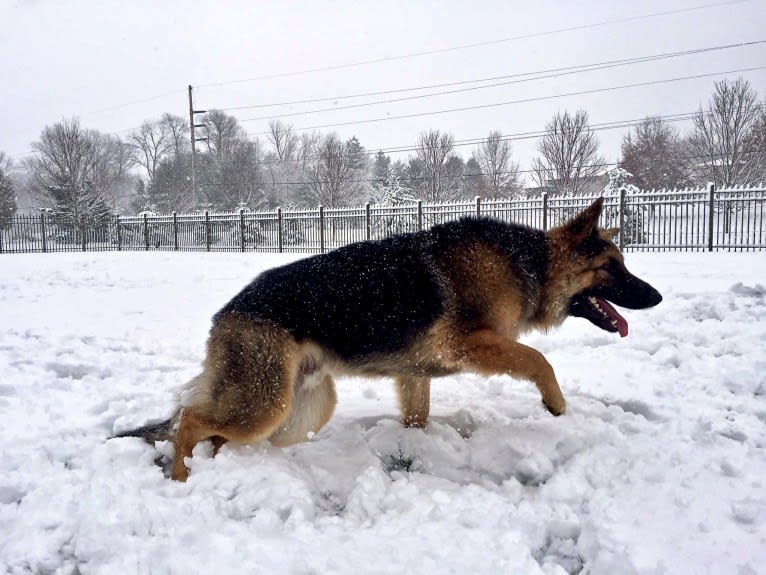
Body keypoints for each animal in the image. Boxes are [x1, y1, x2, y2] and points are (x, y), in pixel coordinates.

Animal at [117, 198, 664, 482]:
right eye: (612, 267)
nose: (656, 296)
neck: (527, 263)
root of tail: (226, 313)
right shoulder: (470, 344)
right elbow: (538, 359)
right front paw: (556, 404)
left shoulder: (415, 376)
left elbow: (417, 418)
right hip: (266, 405)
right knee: (190, 421)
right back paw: (182, 478)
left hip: (300, 409)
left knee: (211, 431)